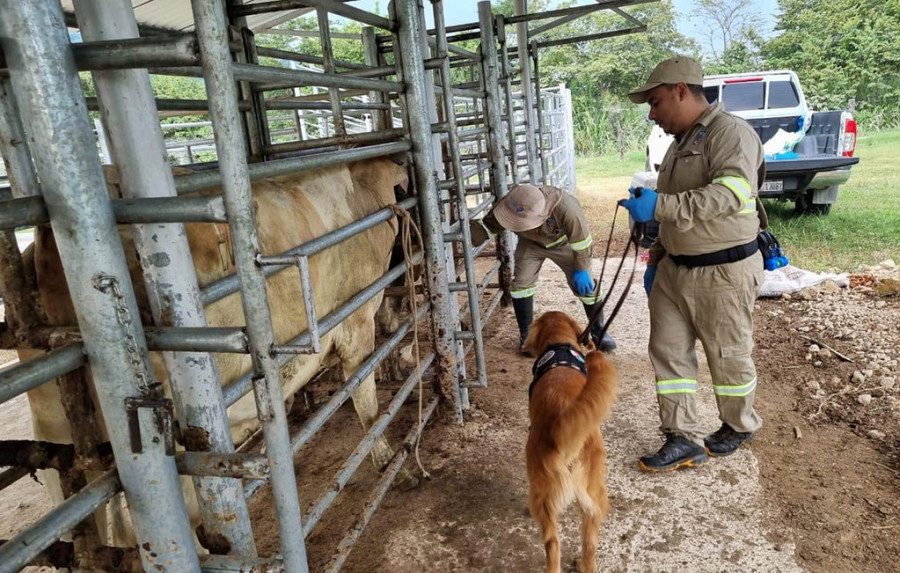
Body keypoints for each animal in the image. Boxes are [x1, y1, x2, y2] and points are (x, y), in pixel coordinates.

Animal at [520, 312, 620, 572]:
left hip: (543, 493)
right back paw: (584, 563)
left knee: (553, 543)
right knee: (590, 541)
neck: (559, 344)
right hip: (594, 490)